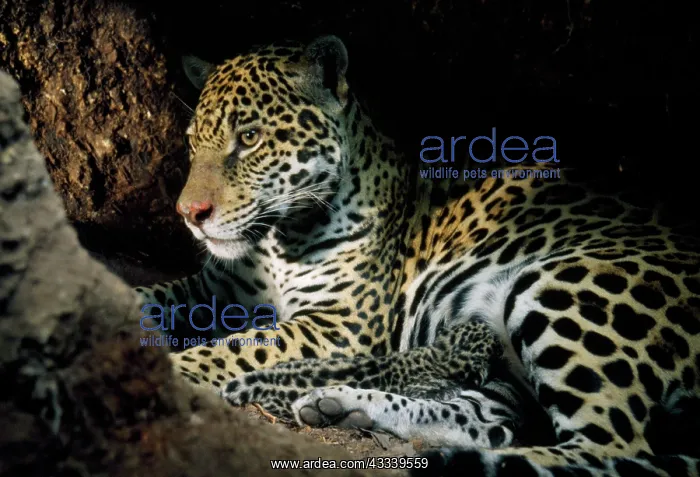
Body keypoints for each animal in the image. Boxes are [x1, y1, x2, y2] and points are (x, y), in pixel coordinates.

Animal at [135, 35, 700, 476]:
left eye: (249, 138)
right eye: (193, 142)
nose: (190, 213)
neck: (273, 240)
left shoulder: (340, 324)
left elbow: (236, 347)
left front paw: (177, 369)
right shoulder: (212, 288)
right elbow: (150, 297)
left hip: (560, 285)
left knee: (613, 448)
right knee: (494, 423)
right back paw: (341, 407)